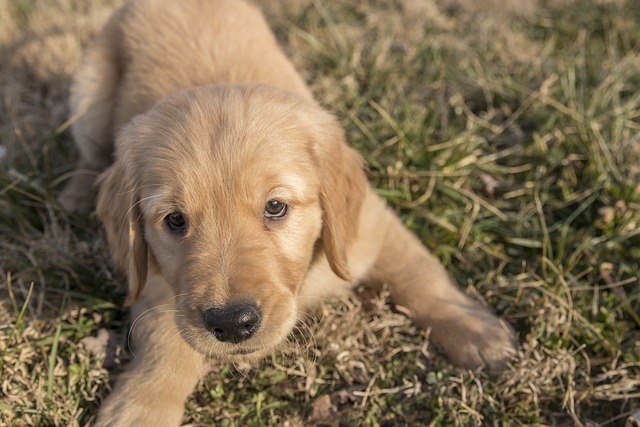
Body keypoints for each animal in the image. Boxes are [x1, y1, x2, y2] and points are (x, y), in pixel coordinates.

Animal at [61, 1, 516, 426]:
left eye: (276, 207)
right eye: (175, 220)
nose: (232, 324)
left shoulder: (371, 225)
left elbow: (419, 272)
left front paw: (474, 330)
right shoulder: (155, 279)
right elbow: (164, 344)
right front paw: (141, 407)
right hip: (90, 93)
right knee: (89, 152)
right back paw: (79, 192)